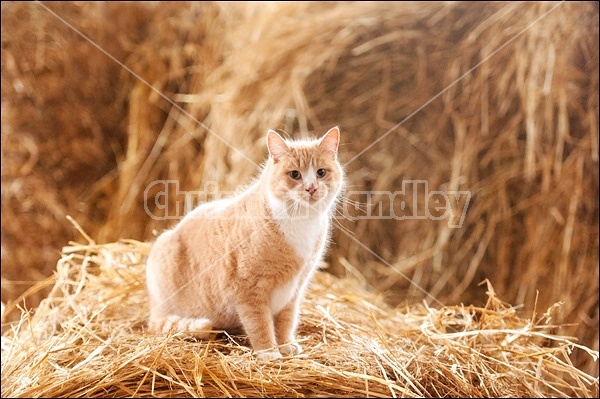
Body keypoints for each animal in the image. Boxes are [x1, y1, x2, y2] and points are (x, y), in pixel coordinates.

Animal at [144, 126, 342, 360]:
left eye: (321, 172)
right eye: (295, 174)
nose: (311, 188)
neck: (301, 220)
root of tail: (153, 307)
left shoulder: (294, 290)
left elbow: (286, 321)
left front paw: (285, 345)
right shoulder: (248, 290)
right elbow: (260, 324)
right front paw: (269, 352)